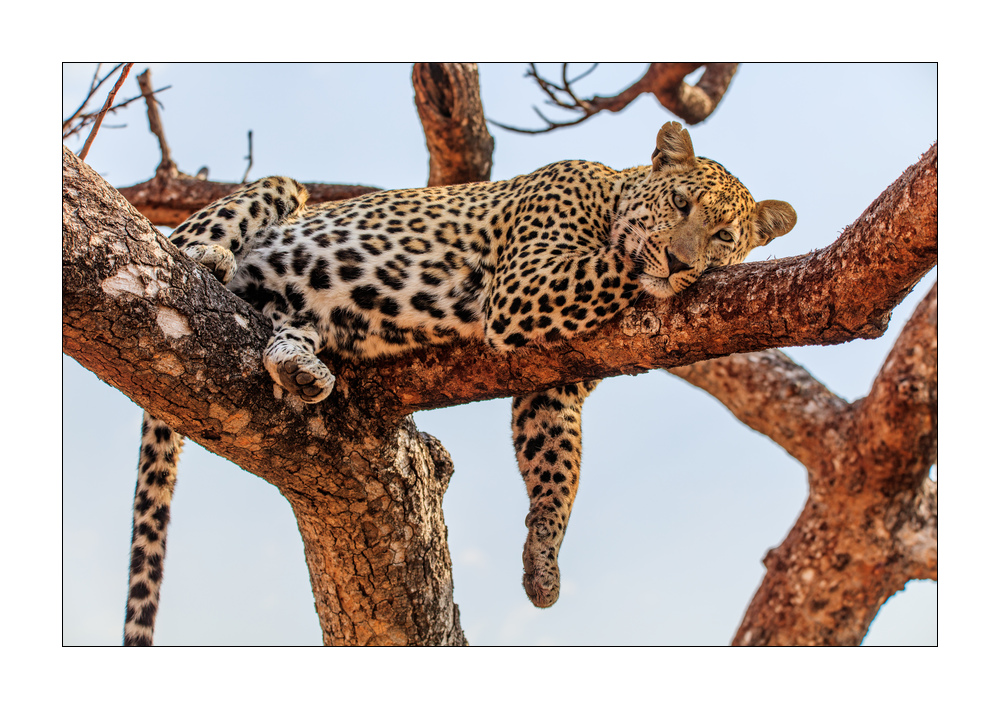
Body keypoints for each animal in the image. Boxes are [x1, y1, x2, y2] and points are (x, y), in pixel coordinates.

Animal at [123, 121, 796, 645]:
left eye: (724, 236)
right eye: (681, 204)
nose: (683, 260)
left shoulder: (556, 383)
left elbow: (556, 466)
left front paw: (543, 564)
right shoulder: (528, 285)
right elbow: (619, 261)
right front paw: (656, 263)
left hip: (297, 312)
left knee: (283, 330)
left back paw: (299, 365)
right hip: (273, 195)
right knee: (202, 232)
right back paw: (209, 258)